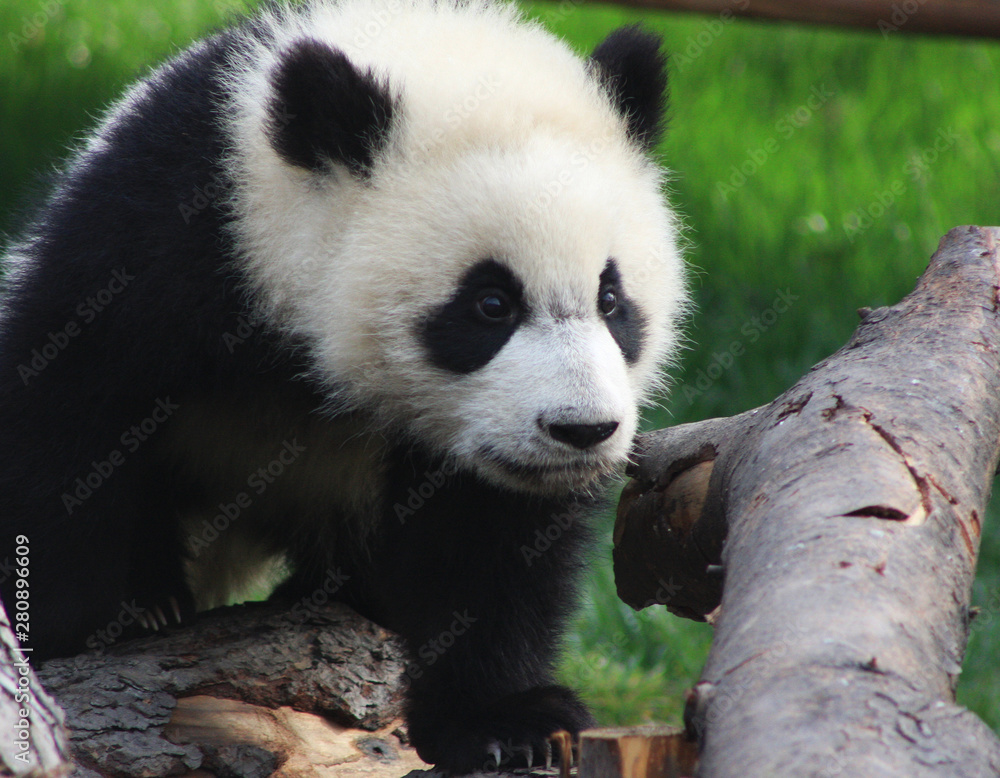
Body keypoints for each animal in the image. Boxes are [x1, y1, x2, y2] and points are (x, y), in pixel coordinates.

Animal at [0, 0, 686, 771]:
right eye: (490, 304)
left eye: (611, 300)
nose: (581, 431)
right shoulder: (172, 228)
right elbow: (67, 406)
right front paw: (97, 618)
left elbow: (489, 541)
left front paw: (507, 721)